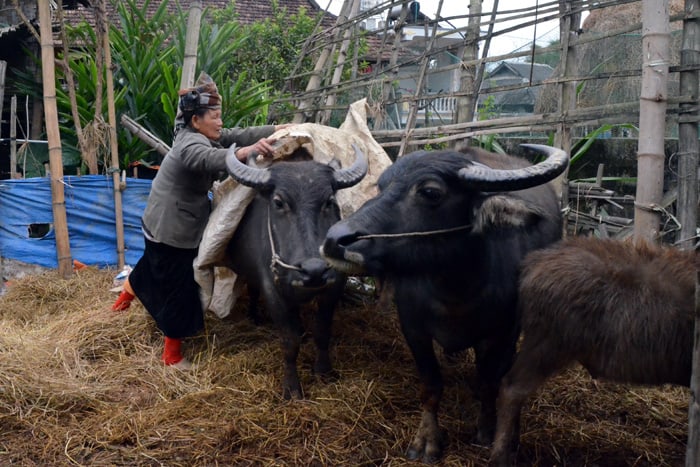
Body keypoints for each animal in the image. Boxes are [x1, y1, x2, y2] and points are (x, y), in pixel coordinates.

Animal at [224, 145, 370, 398]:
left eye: (329, 201)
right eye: (278, 202)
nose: (314, 270)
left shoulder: (334, 285)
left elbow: (322, 330)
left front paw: (324, 371)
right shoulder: (273, 290)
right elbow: (290, 340)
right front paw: (292, 388)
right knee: (252, 291)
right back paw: (254, 317)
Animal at [322, 144, 568, 462]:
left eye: (430, 192)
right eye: (382, 186)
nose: (335, 240)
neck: (455, 289)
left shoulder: (501, 334)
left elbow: (489, 383)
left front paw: (487, 430)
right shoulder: (414, 329)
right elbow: (431, 384)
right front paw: (426, 441)